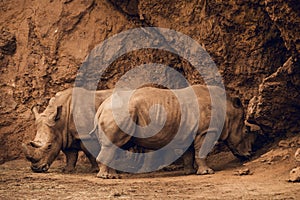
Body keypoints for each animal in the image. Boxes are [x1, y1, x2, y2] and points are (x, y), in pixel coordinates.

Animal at [93, 84, 255, 178]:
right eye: (246, 132)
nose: (249, 154)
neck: (227, 109)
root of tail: (101, 108)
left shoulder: (190, 132)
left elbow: (189, 154)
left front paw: (189, 172)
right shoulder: (206, 131)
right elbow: (201, 151)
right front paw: (207, 172)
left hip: (119, 113)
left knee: (116, 146)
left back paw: (113, 176)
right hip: (119, 113)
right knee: (113, 145)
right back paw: (106, 177)